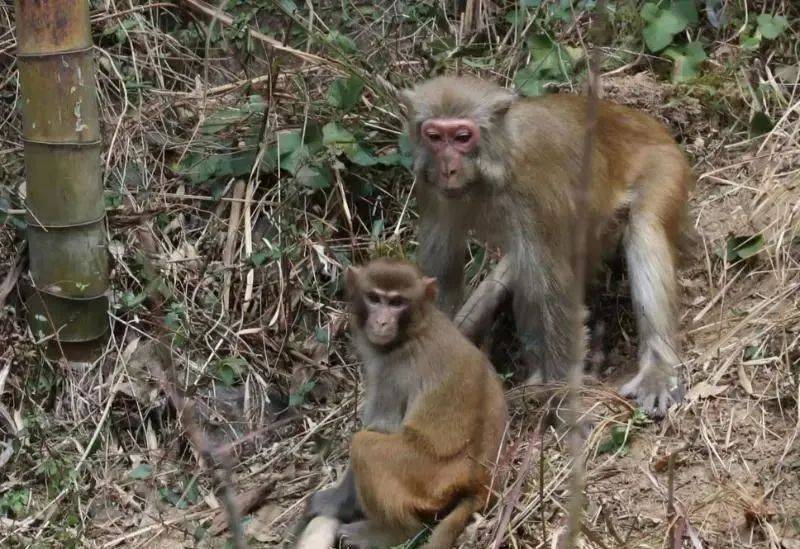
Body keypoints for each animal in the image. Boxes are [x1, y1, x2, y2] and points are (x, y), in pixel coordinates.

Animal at [300, 258, 506, 548]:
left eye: (397, 302)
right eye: (374, 298)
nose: (382, 321)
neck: (414, 329)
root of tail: (483, 482)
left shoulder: (393, 370)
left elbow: (380, 427)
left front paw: (337, 504)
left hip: (428, 476)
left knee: (365, 446)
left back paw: (395, 532)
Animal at [406, 74, 692, 416]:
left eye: (462, 137)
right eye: (434, 137)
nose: (448, 168)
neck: (497, 164)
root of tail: (644, 120)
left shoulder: (536, 194)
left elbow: (554, 293)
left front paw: (561, 398)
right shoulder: (431, 188)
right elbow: (442, 278)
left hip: (665, 164)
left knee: (644, 227)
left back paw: (657, 369)